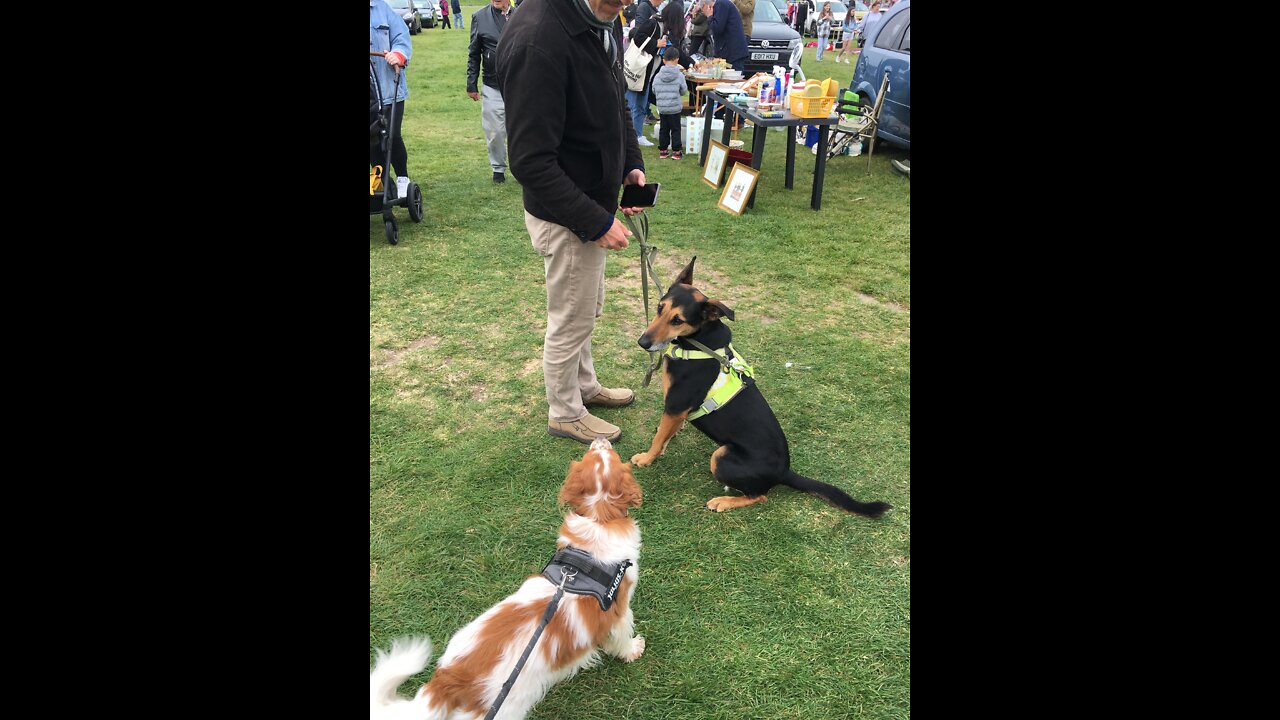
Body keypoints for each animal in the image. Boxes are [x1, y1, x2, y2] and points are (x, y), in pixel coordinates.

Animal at [634, 254, 896, 512]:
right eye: (659, 308)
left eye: (677, 320)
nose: (642, 342)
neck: (699, 341)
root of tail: (784, 472)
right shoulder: (676, 410)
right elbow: (666, 433)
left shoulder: (675, 405)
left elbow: (658, 438)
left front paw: (647, 458)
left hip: (721, 455)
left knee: (760, 496)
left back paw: (724, 501)